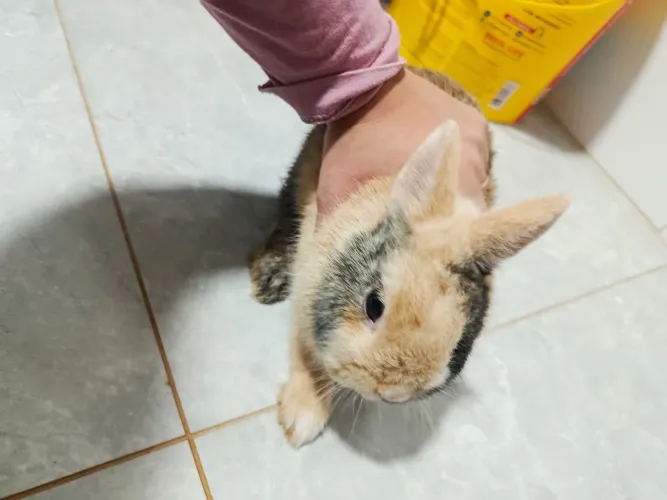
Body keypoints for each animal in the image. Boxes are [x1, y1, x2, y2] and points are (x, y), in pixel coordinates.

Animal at [248, 67, 569, 448]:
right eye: (374, 305)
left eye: (461, 336)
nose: (391, 392)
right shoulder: (308, 285)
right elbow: (309, 356)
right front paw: (302, 420)